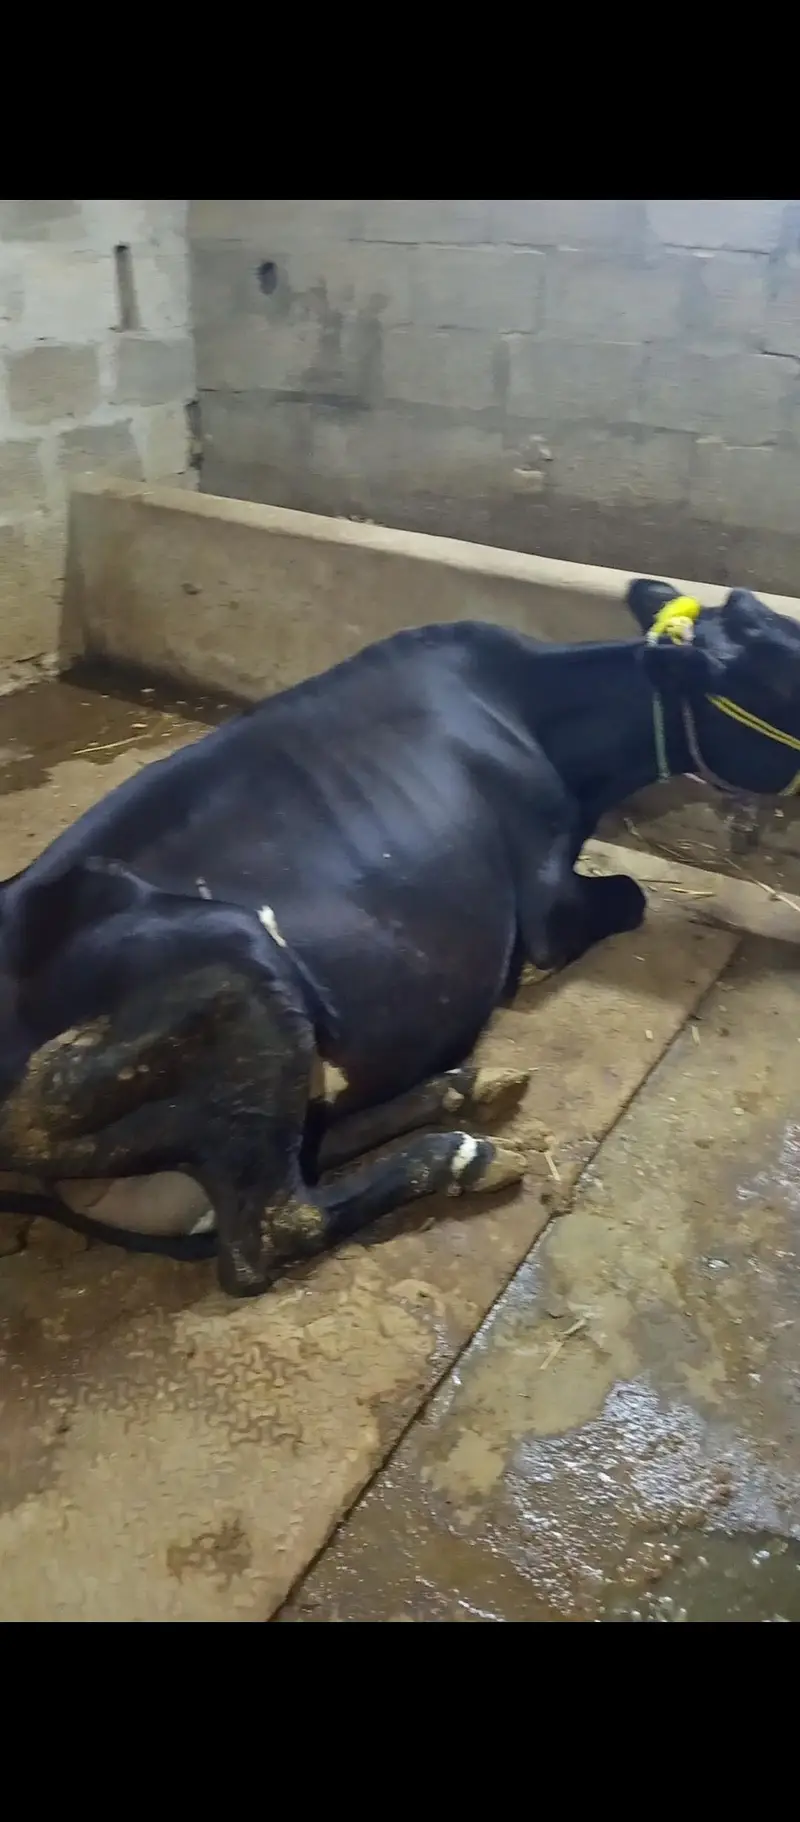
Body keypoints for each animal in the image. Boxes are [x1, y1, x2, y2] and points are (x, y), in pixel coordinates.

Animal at [0, 576, 798, 1298]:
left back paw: (463, 1088)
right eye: (784, 672)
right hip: (233, 962)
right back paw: (461, 1153)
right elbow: (629, 895)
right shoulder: (547, 899)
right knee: (276, 1226)